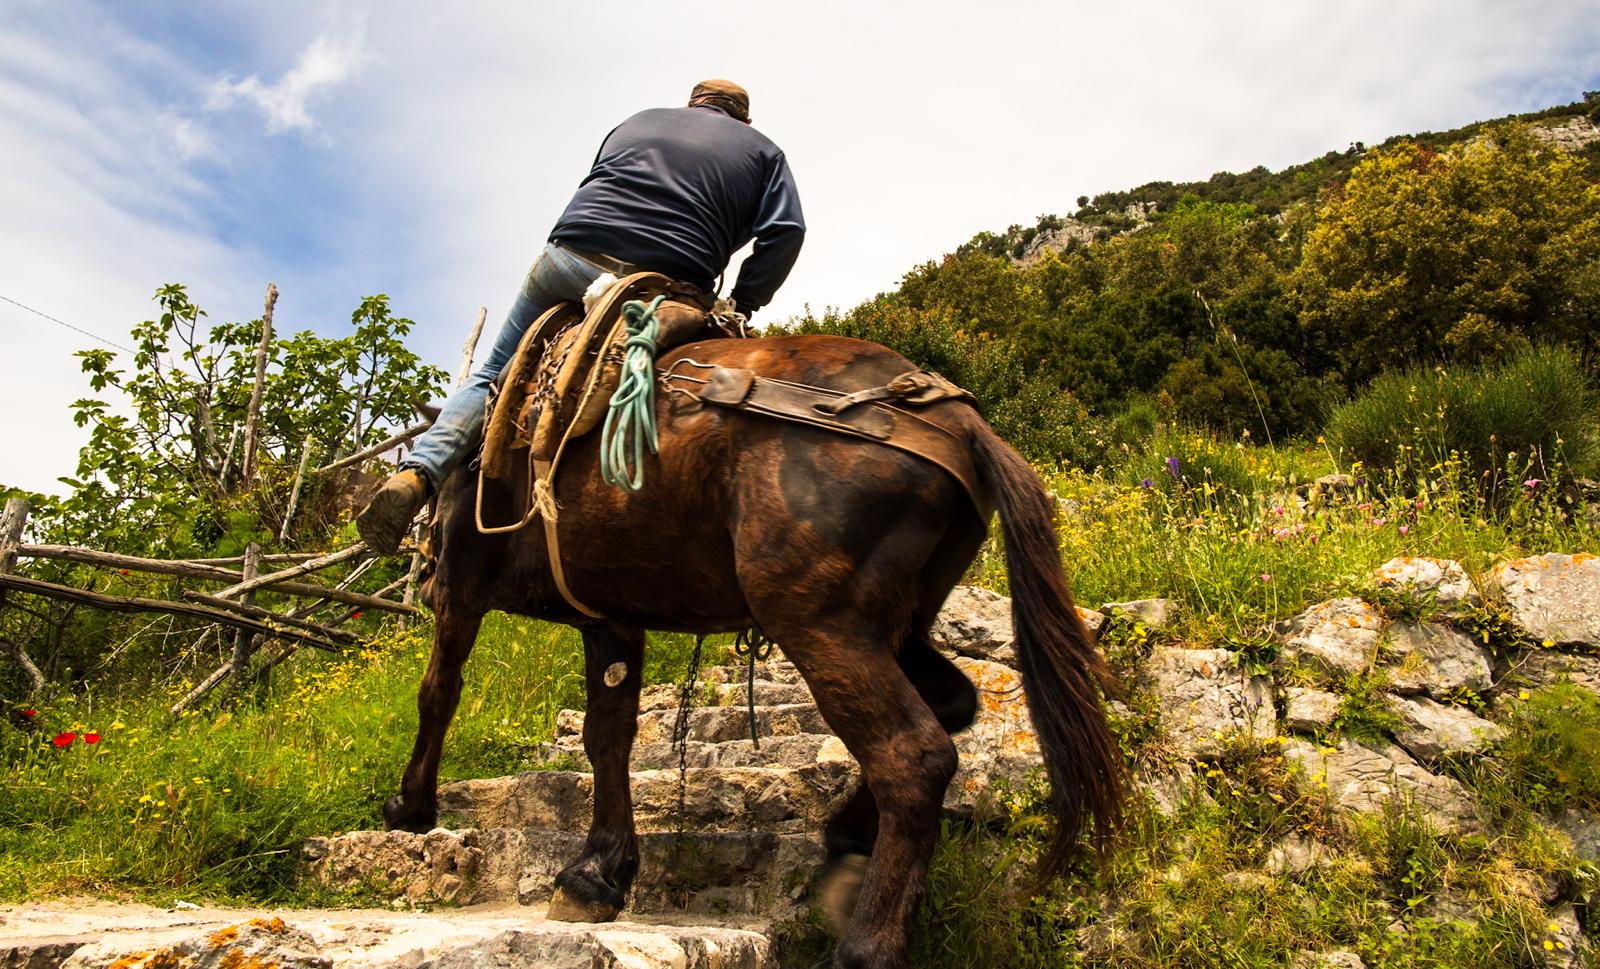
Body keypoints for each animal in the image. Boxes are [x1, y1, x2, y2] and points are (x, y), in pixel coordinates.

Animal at [381, 333, 1124, 969]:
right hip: (894, 621)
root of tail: (960, 422)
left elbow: (438, 691)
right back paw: (847, 842)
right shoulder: (611, 618)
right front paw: (599, 871)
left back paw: (865, 946)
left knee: (913, 754)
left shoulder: (462, 585)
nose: (419, 562)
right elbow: (607, 736)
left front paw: (411, 808)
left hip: (815, 620)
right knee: (953, 703)